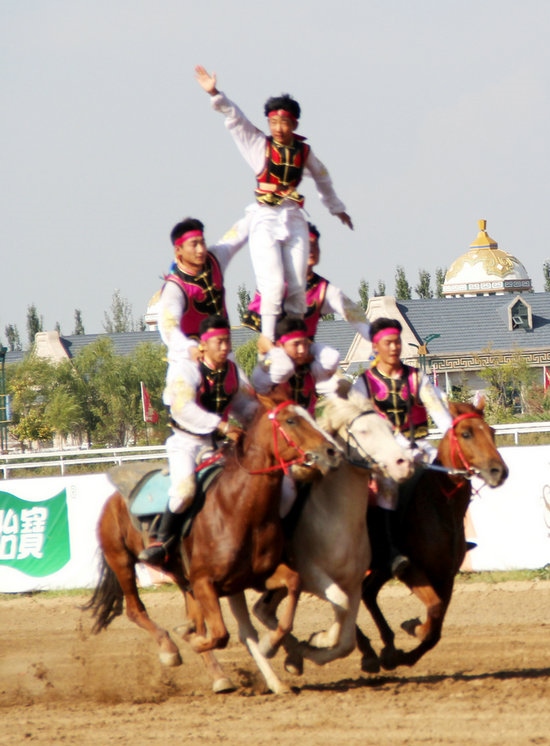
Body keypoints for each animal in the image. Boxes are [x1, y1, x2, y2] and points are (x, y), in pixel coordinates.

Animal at [84, 387, 341, 695]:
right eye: (291, 420)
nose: (332, 452)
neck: (239, 508)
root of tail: (114, 498)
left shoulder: (255, 576)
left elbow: (292, 588)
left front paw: (271, 645)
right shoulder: (205, 582)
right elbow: (219, 634)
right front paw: (191, 642)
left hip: (181, 578)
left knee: (193, 618)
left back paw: (217, 673)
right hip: (122, 560)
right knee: (136, 610)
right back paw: (170, 649)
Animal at [252, 386, 415, 674]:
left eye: (388, 427)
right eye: (363, 431)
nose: (403, 463)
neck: (336, 521)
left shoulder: (354, 583)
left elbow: (347, 639)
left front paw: (312, 647)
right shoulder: (312, 576)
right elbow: (340, 605)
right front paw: (320, 638)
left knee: (263, 610)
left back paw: (289, 654)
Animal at [356, 398, 509, 672]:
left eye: (491, 432)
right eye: (466, 433)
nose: (498, 471)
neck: (440, 505)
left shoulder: (445, 576)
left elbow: (435, 629)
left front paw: (401, 654)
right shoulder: (412, 570)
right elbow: (434, 611)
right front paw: (412, 627)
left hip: (380, 569)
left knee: (367, 592)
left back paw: (385, 647)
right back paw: (368, 652)